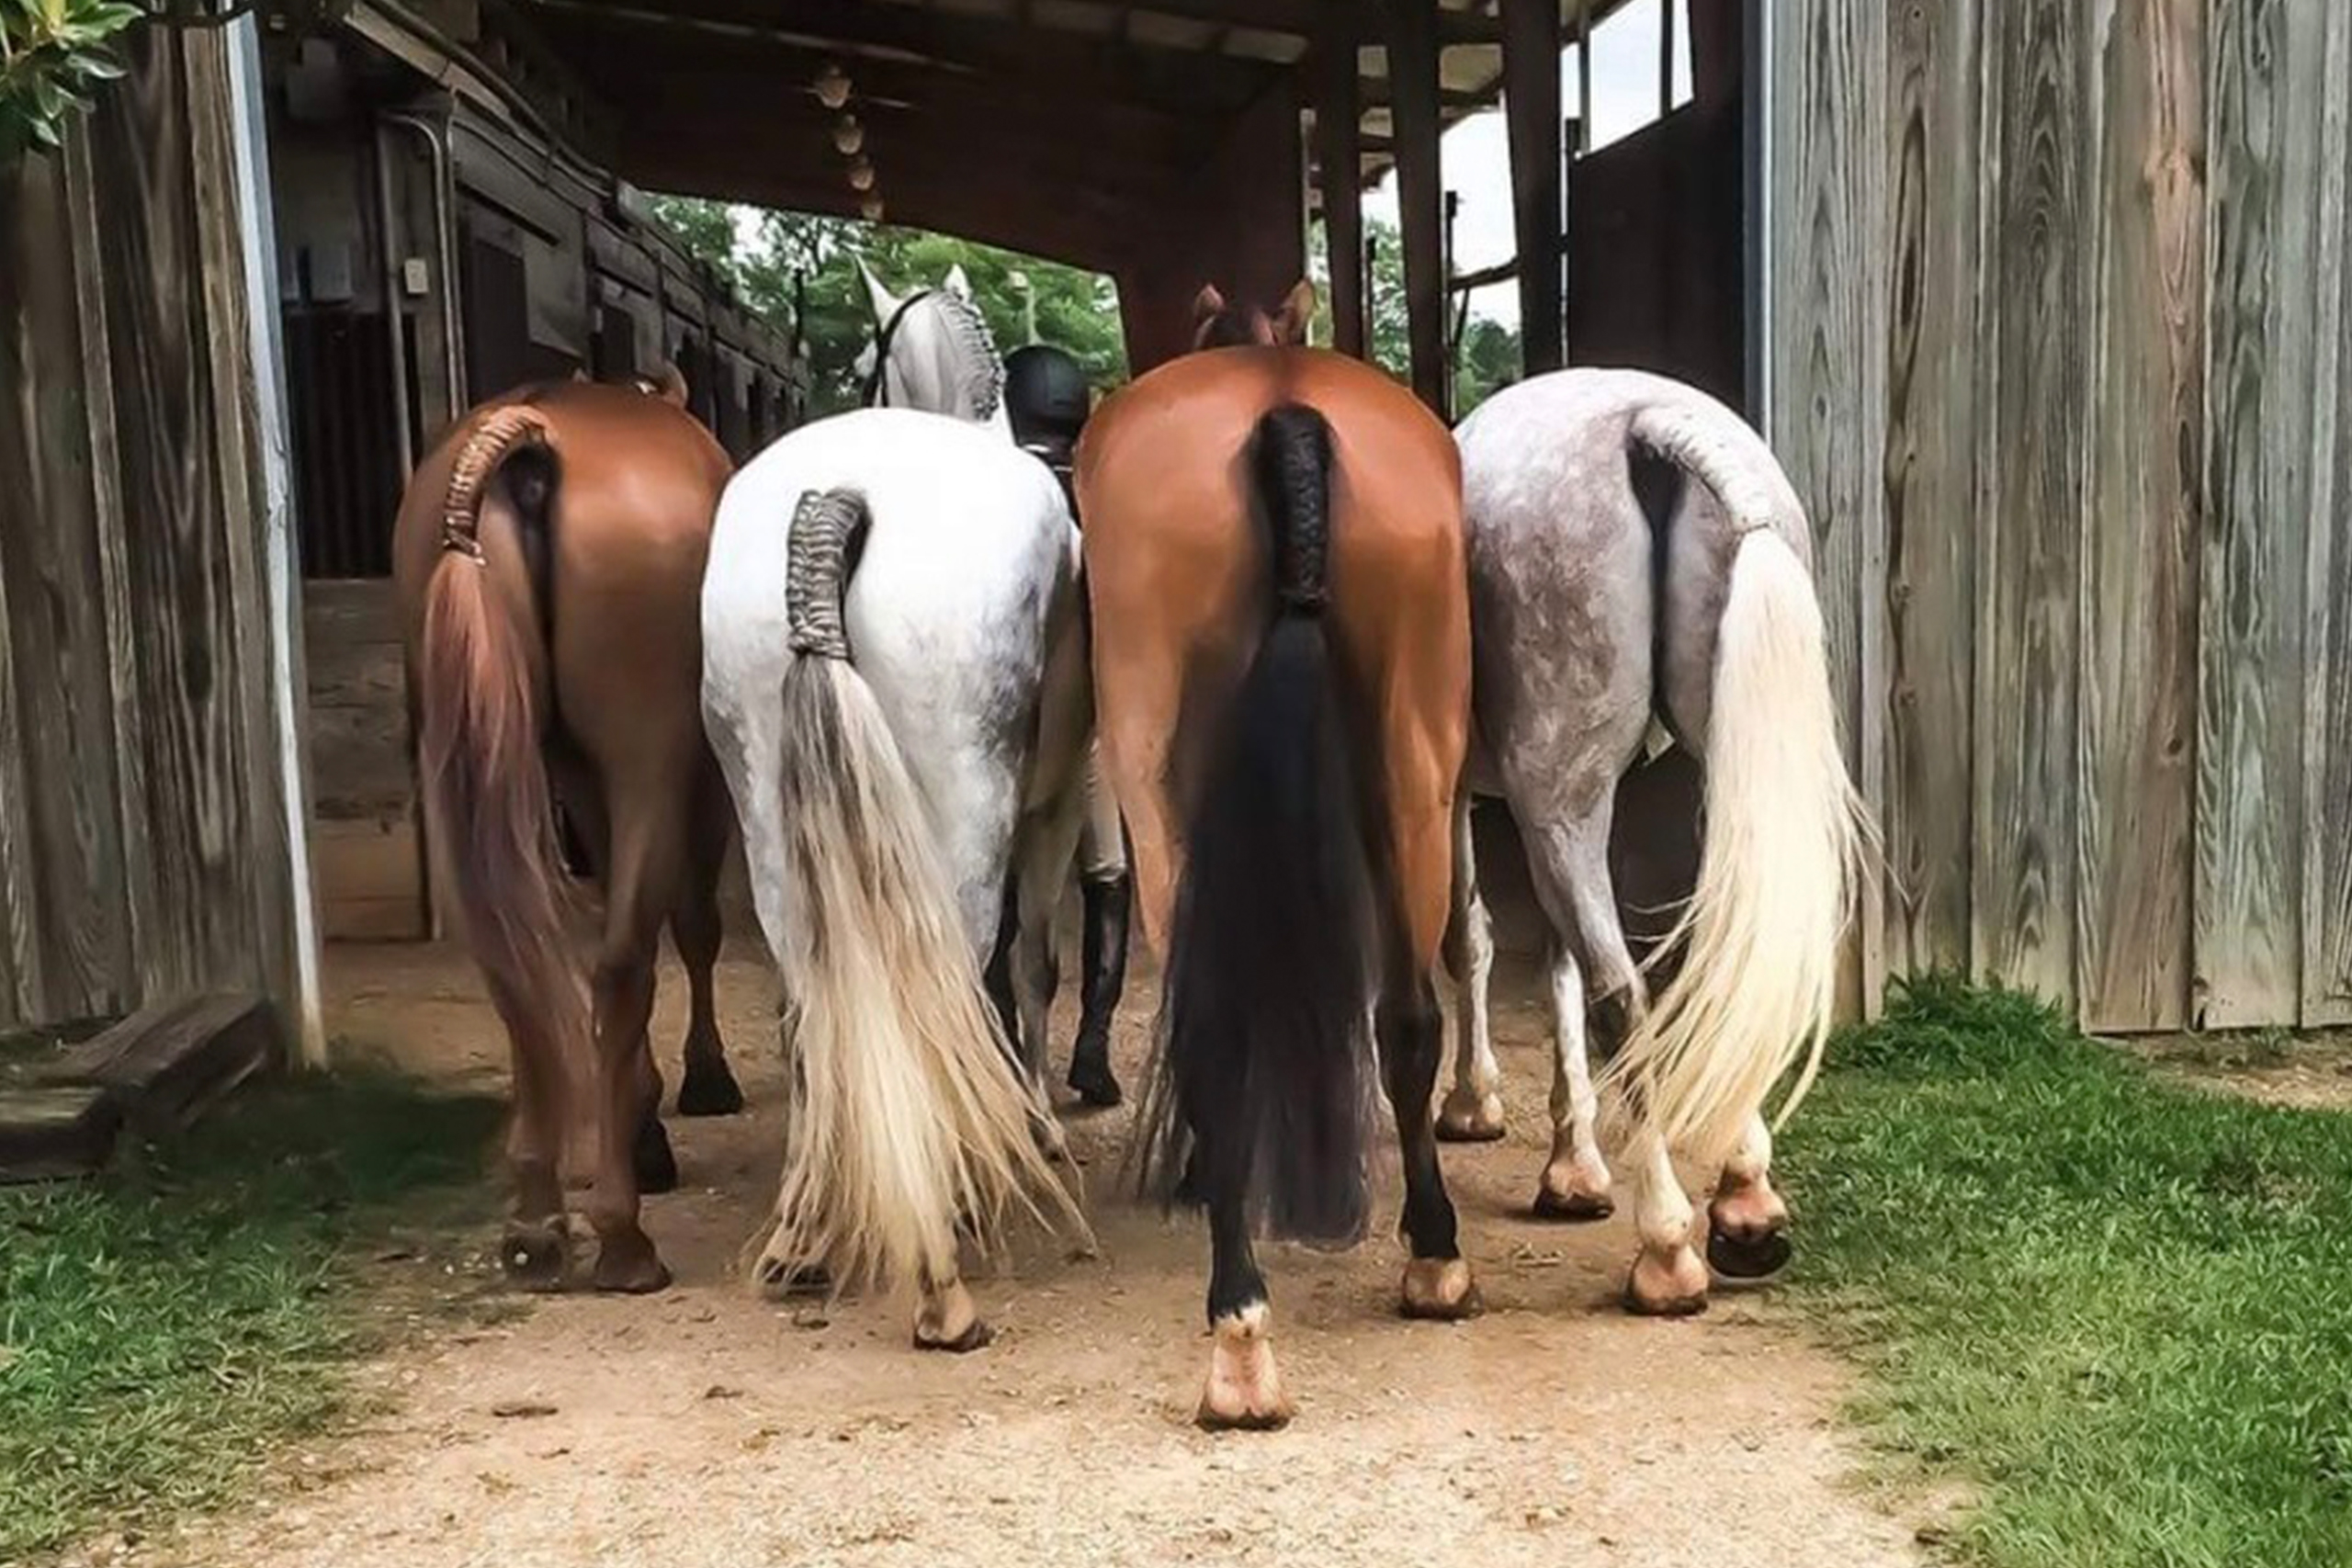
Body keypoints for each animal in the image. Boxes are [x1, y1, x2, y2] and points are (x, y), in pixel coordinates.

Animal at [395, 373, 738, 1297]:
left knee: (520, 967)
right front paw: (698, 1084)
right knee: (621, 962)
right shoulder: (698, 778)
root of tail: (527, 433)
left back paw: (538, 1219)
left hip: (464, 760)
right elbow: (694, 927)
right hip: (647, 757)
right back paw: (622, 1233)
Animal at [700, 404, 1095, 1354]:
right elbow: (1033, 968)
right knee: (944, 979)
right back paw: (940, 1270)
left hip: (766, 815)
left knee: (810, 1003)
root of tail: (844, 490)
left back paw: (804, 1234)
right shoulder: (1057, 805)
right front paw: (1033, 1123)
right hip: (964, 804)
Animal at [1077, 285, 1467, 1438]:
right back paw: (1435, 1256)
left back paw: (1239, 1330)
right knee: (1410, 1019)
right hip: (1415, 767)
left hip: (1160, 781)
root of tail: (1280, 408)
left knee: (1211, 1034)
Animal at [1430, 368, 1871, 1316]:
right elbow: (1550, 961)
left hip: (1560, 804)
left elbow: (1472, 939)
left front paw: (1476, 1105)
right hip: (1686, 772)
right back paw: (1745, 1201)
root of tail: (1650, 423)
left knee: (1621, 994)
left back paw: (1667, 1247)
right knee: (1720, 956)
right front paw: (1573, 1164)